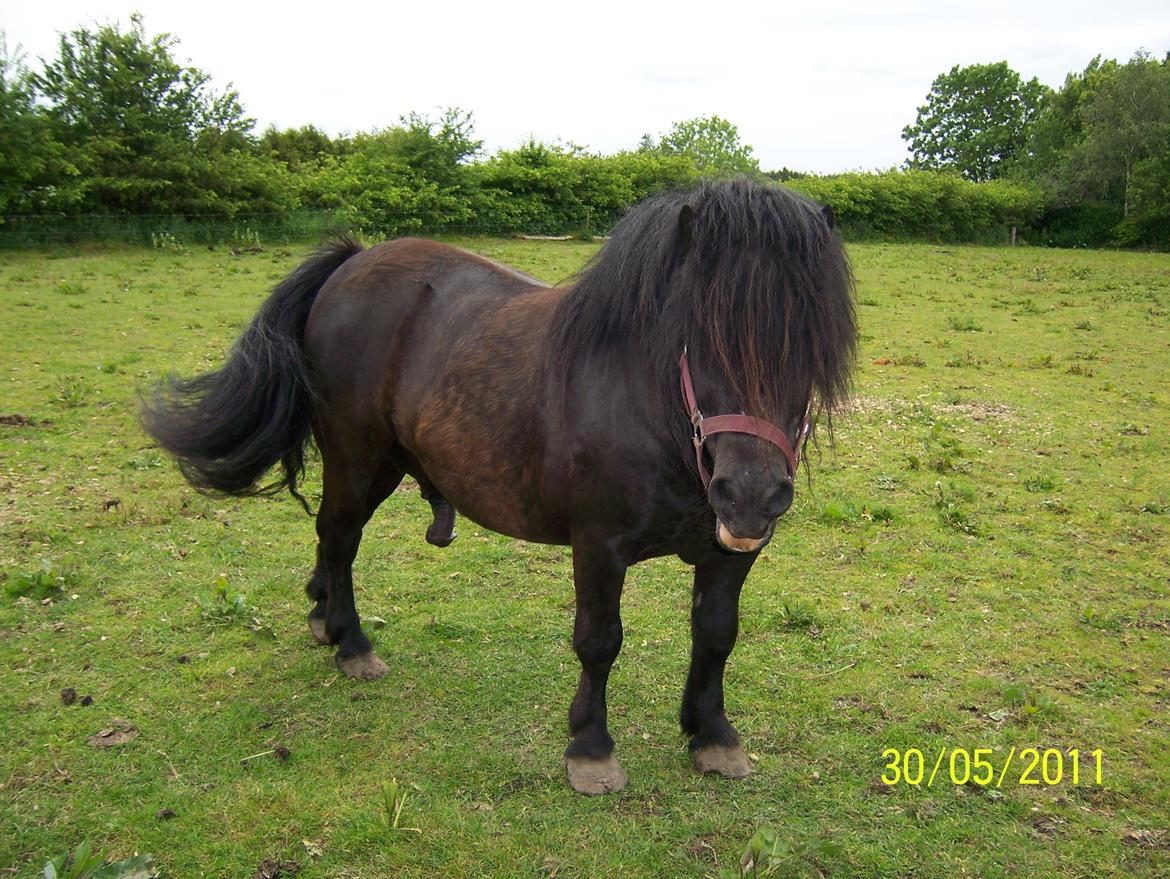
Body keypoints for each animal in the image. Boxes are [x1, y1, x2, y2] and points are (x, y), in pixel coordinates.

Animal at [146, 175, 861, 795]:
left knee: (330, 538)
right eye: (700, 340)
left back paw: (323, 617)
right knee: (341, 538)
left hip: (385, 465)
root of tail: (351, 262)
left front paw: (711, 735)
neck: (649, 410)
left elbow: (716, 634)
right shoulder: (598, 546)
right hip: (357, 457)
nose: (751, 495)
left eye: (809, 345)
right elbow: (599, 641)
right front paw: (590, 749)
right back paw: (351, 642)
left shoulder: (729, 553)